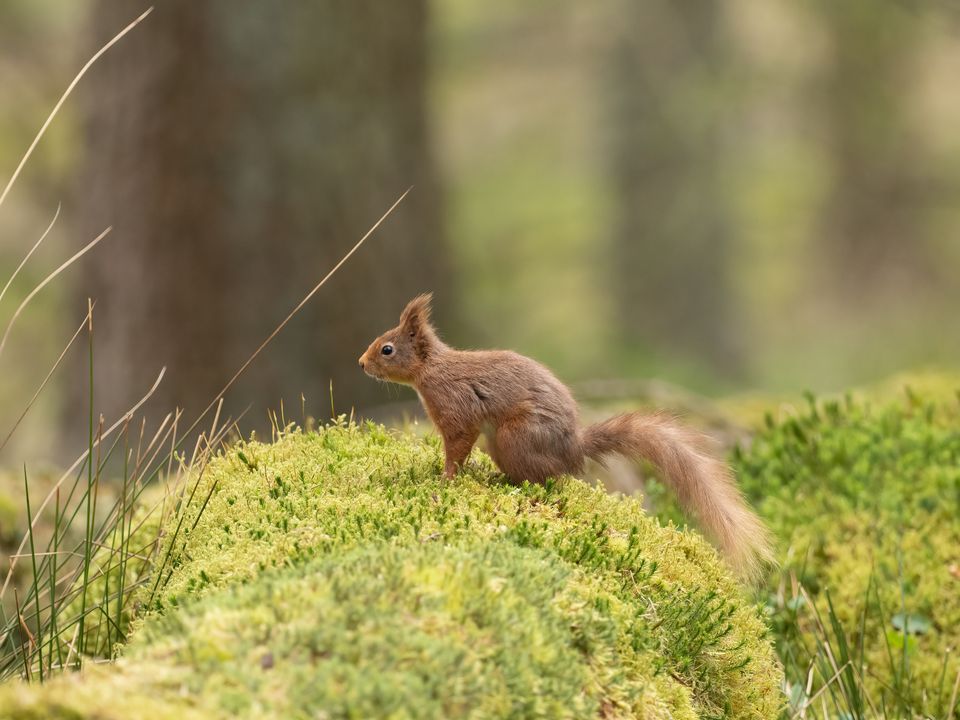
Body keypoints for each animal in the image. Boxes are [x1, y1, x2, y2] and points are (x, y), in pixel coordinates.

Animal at [359, 293, 774, 581]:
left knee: (546, 480)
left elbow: (457, 447)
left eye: (387, 349)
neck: (432, 371)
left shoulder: (458, 410)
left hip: (513, 438)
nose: (361, 363)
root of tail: (573, 449)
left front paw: (445, 480)